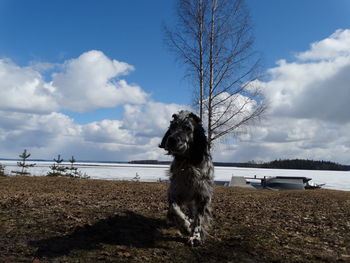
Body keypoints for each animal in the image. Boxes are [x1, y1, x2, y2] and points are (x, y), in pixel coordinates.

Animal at [159, 110, 213, 246]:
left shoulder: (202, 194)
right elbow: (175, 210)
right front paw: (186, 226)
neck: (187, 163)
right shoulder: (174, 191)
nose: (171, 140)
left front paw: (195, 236)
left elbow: (199, 218)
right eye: (173, 127)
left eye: (188, 128)